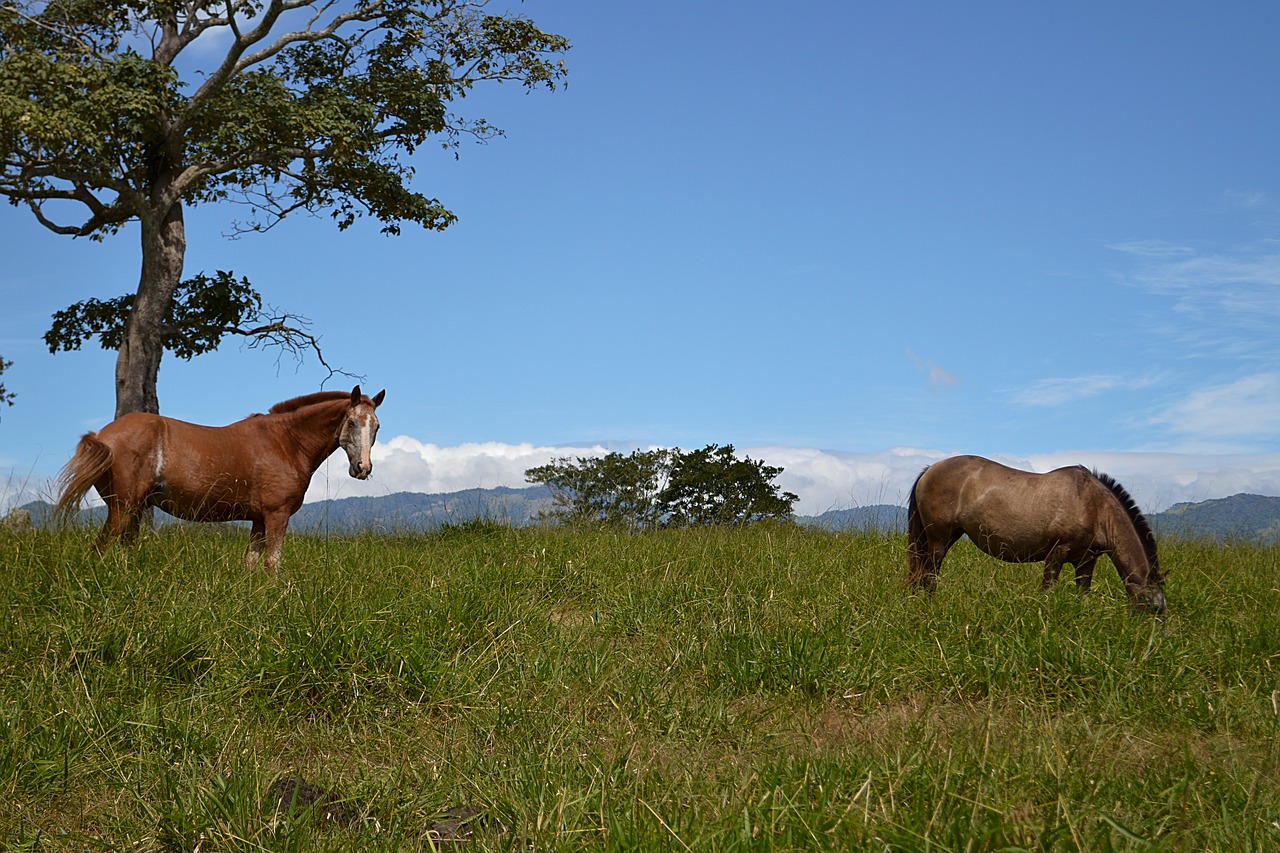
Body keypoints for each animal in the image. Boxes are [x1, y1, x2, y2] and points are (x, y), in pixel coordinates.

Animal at [56, 384, 384, 571]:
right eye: (352, 422)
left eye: (376, 426)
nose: (363, 468)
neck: (286, 441)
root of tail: (101, 435)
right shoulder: (276, 515)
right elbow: (272, 563)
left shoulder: (259, 520)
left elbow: (250, 564)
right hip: (122, 508)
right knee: (100, 549)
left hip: (135, 510)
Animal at [906, 455, 1167, 607]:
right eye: (1152, 608)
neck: (1092, 506)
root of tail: (930, 469)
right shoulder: (1056, 554)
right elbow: (1047, 593)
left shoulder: (1086, 561)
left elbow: (1083, 598)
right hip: (938, 539)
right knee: (929, 575)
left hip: (948, 536)